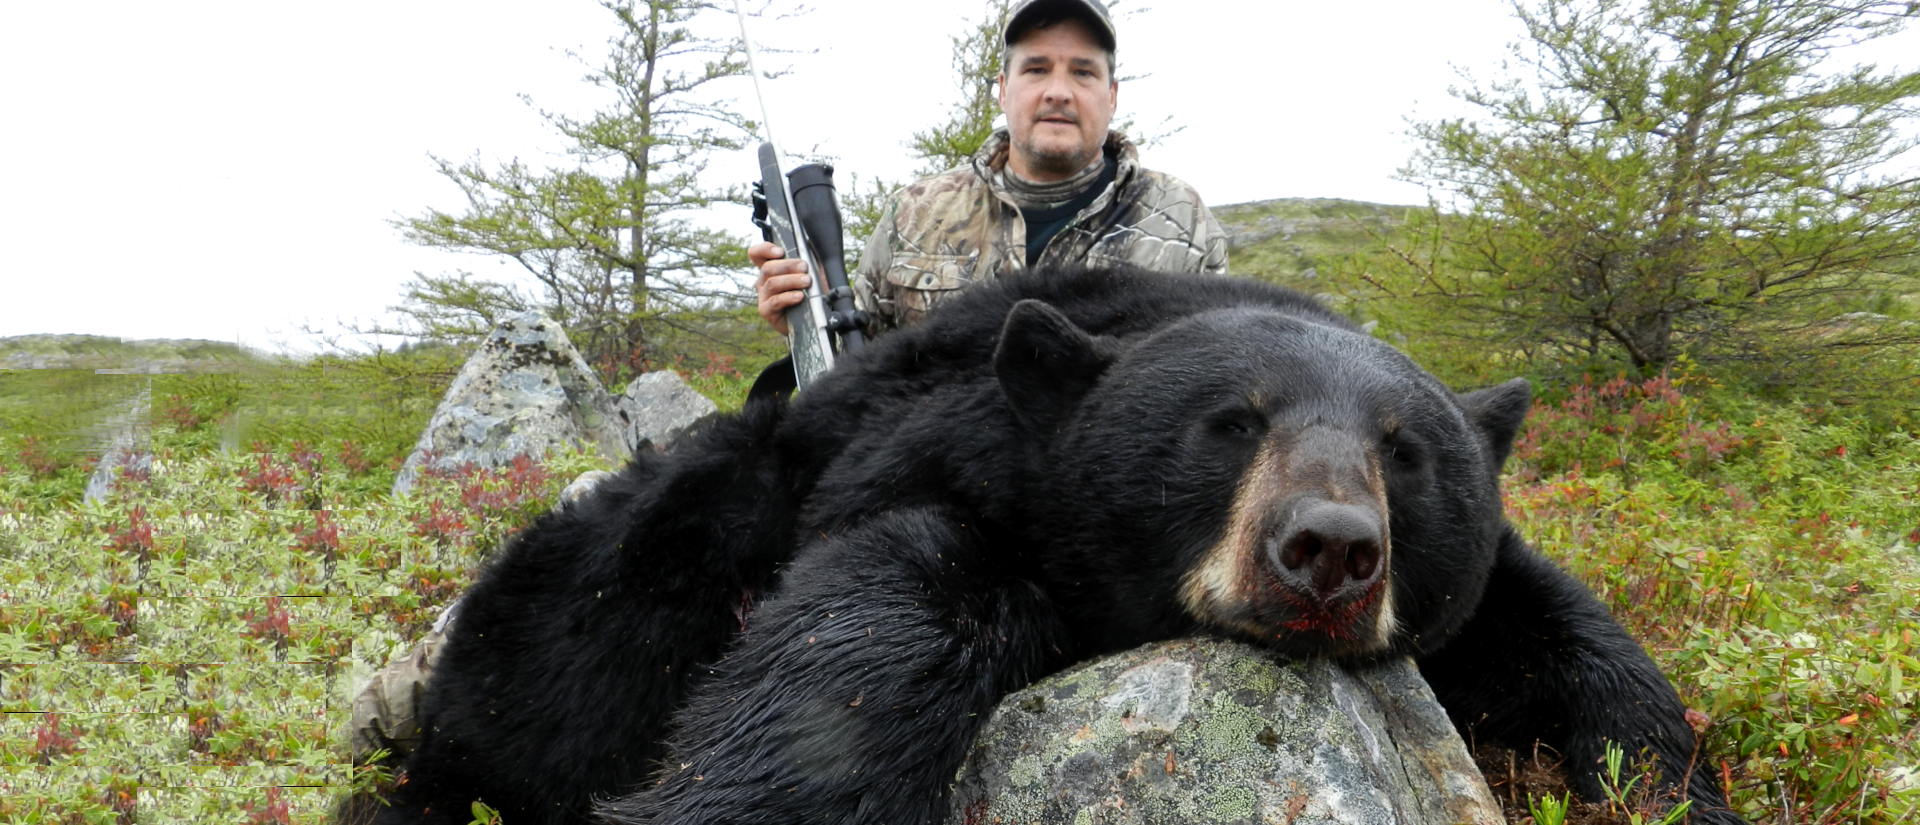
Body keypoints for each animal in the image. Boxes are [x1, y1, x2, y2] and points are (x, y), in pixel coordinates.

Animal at [365, 267, 1737, 825]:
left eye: (1406, 452)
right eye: (1231, 423)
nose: (1329, 551)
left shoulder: (1473, 587)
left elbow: (1586, 646)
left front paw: (1671, 790)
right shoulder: (952, 481)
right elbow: (863, 651)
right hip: (637, 557)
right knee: (547, 667)